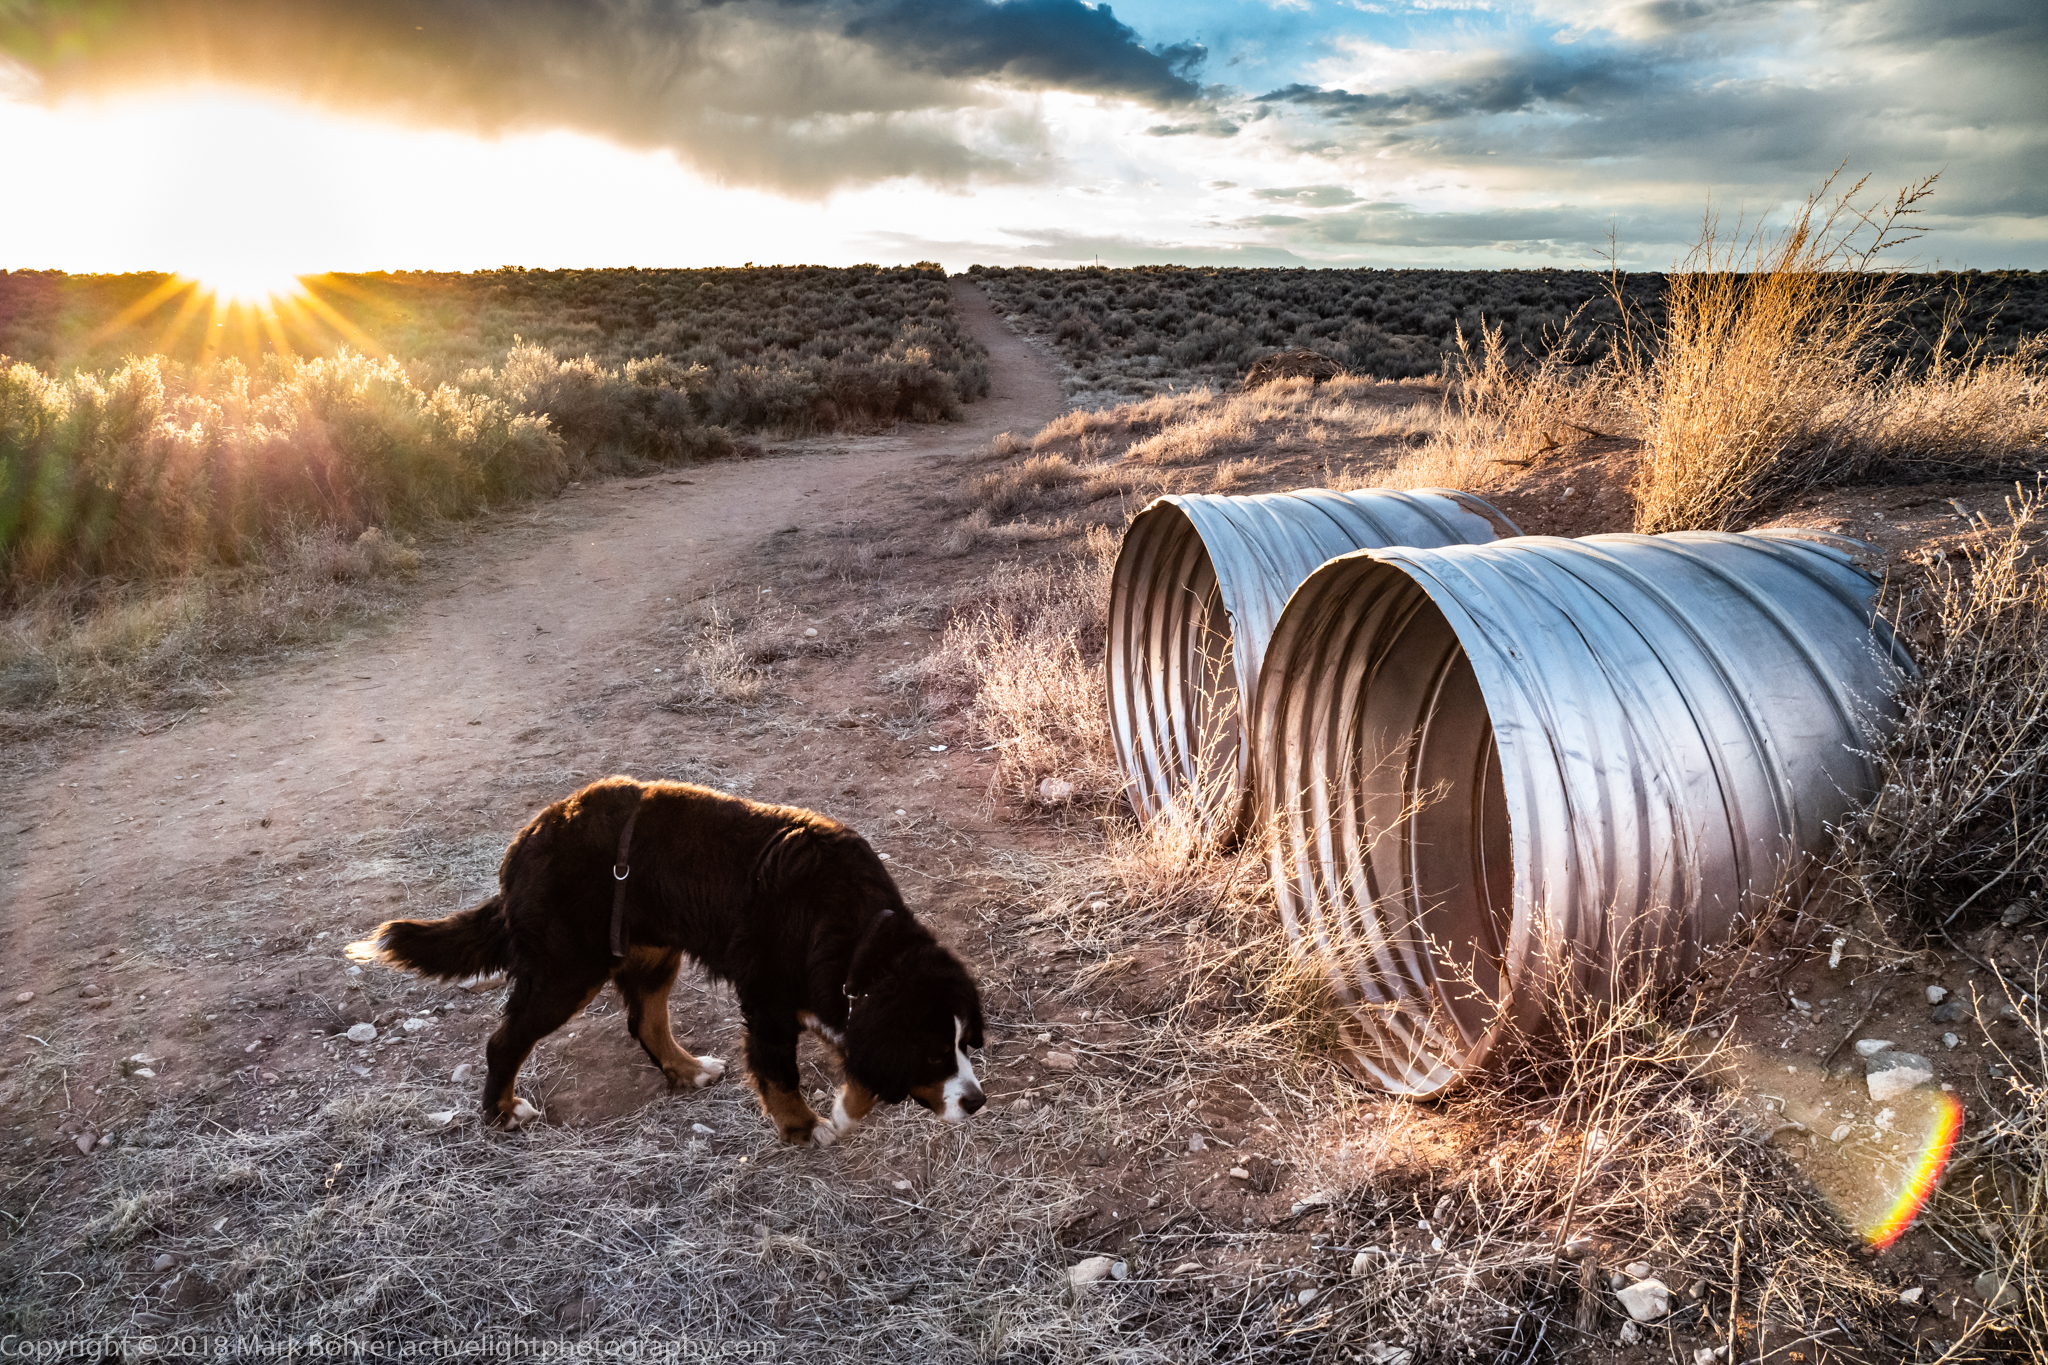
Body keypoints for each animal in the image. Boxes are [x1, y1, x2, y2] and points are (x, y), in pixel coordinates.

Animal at [348, 777, 987, 1146]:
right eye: (935, 1051)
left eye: (963, 1043)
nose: (977, 1101)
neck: (855, 930)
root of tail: (525, 842)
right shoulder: (770, 1002)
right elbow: (781, 1073)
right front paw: (805, 1127)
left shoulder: (840, 997)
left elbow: (860, 1063)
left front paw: (848, 1109)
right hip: (568, 971)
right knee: (505, 1041)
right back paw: (501, 1112)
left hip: (652, 952)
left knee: (645, 1022)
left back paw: (688, 1069)